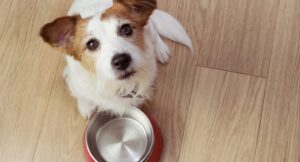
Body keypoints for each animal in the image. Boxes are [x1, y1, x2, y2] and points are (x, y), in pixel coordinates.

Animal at [39, 0, 192, 119]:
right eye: (91, 44)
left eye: (126, 29)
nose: (121, 60)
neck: (115, 84)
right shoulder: (78, 85)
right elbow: (82, 96)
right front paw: (85, 107)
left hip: (149, 28)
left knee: (154, 31)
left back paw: (161, 49)